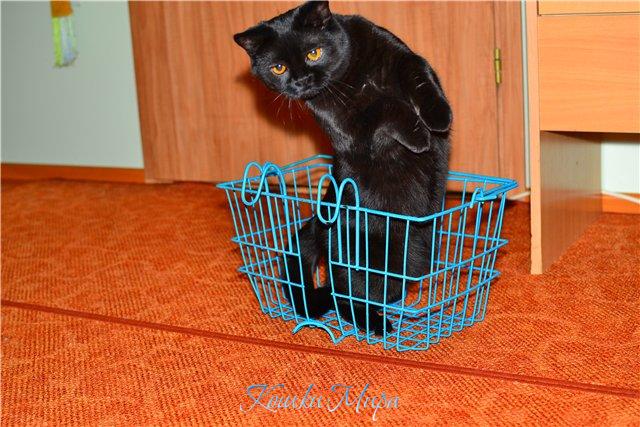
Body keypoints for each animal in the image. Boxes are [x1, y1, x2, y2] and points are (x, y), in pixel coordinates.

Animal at [234, 1, 451, 335]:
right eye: (278, 68)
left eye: (314, 53)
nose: (300, 82)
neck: (352, 77)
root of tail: (318, 221)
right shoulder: (352, 129)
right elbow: (383, 105)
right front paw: (418, 135)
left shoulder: (404, 57)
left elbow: (419, 77)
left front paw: (439, 117)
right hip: (364, 259)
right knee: (344, 295)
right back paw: (378, 325)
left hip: (414, 260)